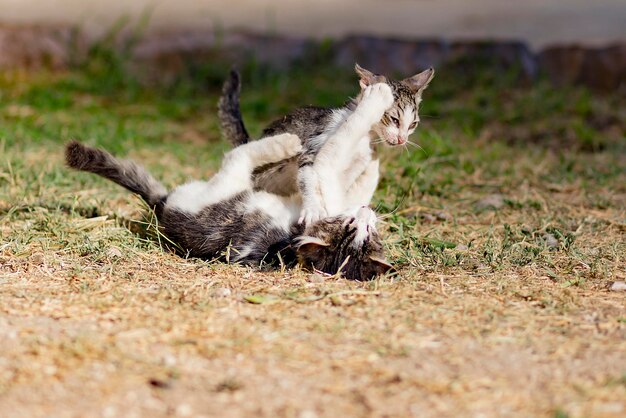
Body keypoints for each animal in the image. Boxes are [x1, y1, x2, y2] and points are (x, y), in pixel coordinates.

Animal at [64, 84, 394, 280]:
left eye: (366, 233)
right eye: (356, 227)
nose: (366, 213)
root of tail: (163, 207)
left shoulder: (329, 187)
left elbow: (344, 153)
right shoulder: (331, 188)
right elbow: (350, 156)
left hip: (227, 183)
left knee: (238, 155)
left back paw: (285, 143)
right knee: (241, 152)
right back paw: (287, 142)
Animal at [217, 63, 432, 224]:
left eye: (412, 125)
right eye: (394, 120)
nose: (402, 139)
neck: (365, 137)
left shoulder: (356, 167)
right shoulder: (311, 151)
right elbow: (310, 181)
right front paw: (314, 208)